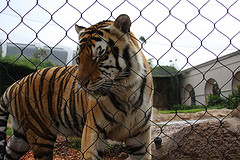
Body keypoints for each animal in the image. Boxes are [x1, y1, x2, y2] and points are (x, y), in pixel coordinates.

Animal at [0, 14, 154, 159]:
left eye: (99, 56)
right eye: (79, 58)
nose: (81, 83)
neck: (126, 92)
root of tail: (15, 84)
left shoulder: (140, 138)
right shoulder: (93, 131)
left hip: (20, 138)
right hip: (40, 135)